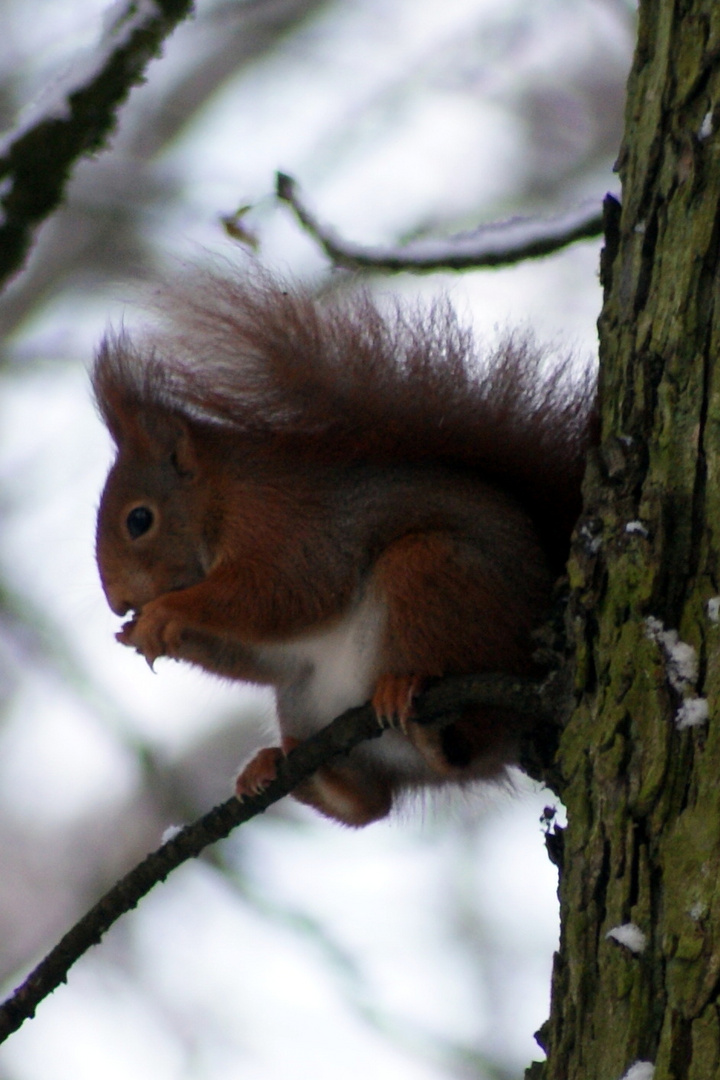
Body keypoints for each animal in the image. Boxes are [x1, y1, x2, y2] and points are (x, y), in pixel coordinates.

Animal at [92, 270, 595, 825]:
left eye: (139, 520)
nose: (117, 601)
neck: (220, 495)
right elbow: (259, 652)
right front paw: (139, 633)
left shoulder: (287, 525)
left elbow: (282, 593)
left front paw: (166, 612)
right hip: (302, 699)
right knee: (371, 804)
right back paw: (297, 771)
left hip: (430, 576)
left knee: (459, 747)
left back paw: (410, 700)